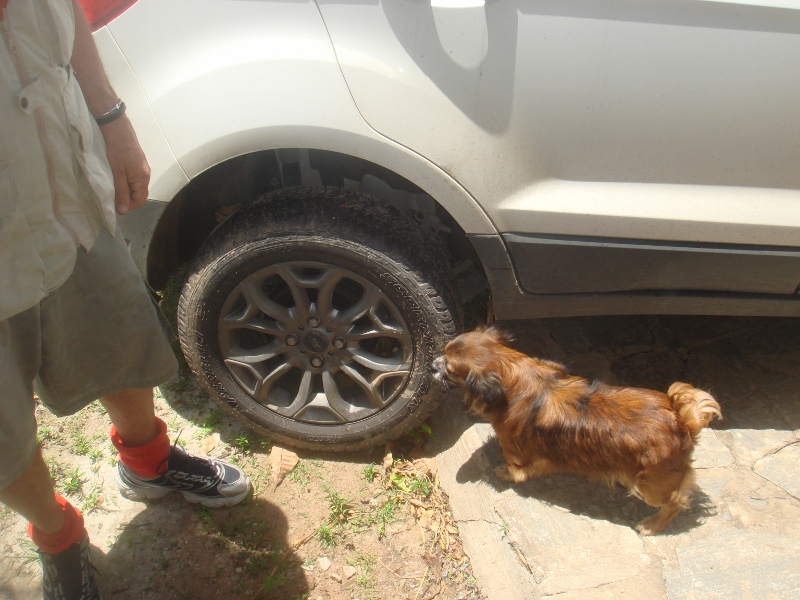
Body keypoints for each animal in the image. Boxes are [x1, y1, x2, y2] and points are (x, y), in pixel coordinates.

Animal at [434, 328, 720, 536]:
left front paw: (505, 472)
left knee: (676, 502)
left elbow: (518, 470)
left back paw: (652, 525)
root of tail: (682, 421)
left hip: (650, 486)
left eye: (449, 367)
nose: (434, 363)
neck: (514, 373)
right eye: (443, 355)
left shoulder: (515, 450)